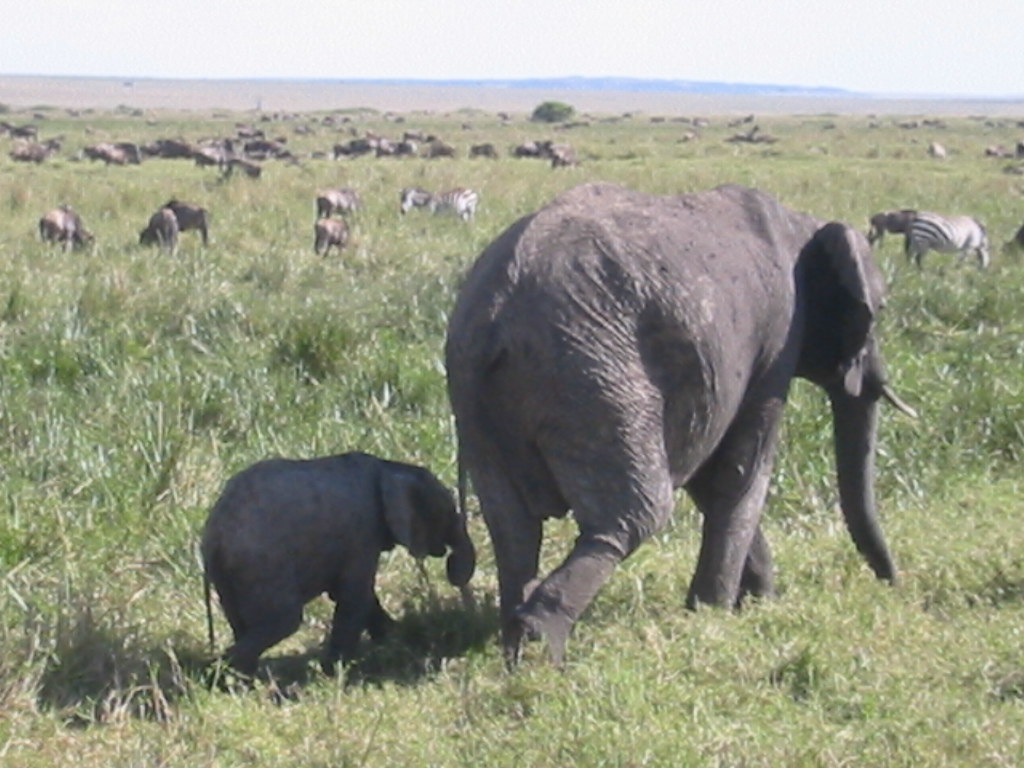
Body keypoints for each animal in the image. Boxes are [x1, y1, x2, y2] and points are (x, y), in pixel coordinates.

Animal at [201, 452, 476, 676]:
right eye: (446, 512)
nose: (452, 567)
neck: (387, 467)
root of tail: (212, 537)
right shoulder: (363, 531)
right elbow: (355, 596)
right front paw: (336, 671)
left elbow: (356, 596)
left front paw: (394, 639)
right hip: (262, 566)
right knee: (284, 620)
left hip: (230, 576)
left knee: (243, 624)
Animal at [445, 182, 916, 666]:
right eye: (877, 310)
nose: (893, 585)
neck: (802, 224)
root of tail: (496, 315)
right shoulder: (779, 339)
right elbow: (741, 471)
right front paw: (718, 615)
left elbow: (709, 475)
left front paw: (754, 603)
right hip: (591, 376)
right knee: (635, 514)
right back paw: (541, 647)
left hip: (480, 397)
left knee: (513, 528)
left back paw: (510, 644)